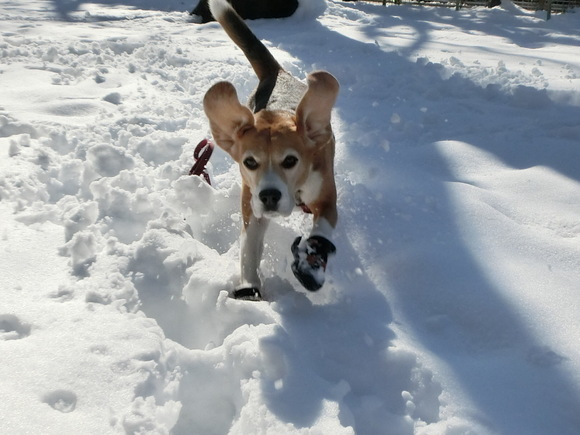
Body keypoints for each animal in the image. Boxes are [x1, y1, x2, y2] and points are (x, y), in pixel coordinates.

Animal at [204, 0, 340, 300]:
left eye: (290, 160)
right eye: (250, 162)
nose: (268, 196)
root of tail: (277, 73)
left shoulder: (326, 195)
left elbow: (322, 230)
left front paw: (311, 262)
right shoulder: (250, 202)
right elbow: (249, 248)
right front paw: (249, 287)